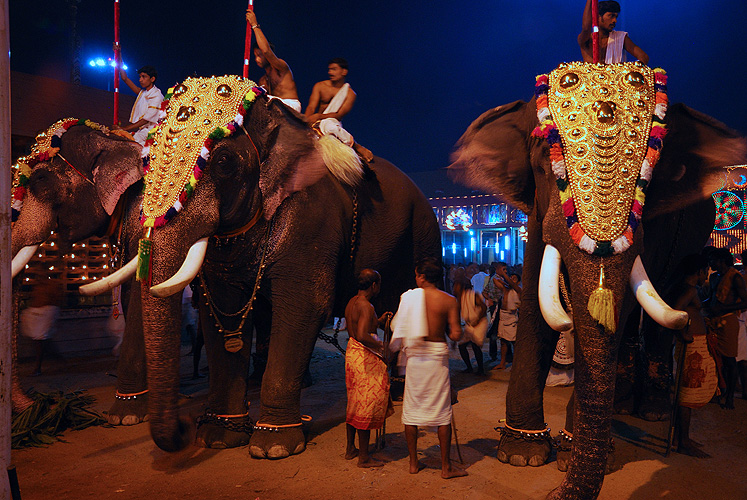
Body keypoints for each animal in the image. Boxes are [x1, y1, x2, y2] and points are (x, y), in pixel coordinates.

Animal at [10, 118, 152, 426]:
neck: (114, 140)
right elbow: (128, 293)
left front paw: (125, 416)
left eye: (40, 181)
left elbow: (140, 292)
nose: (48, 403)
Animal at [122, 75, 442, 458]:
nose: (186, 425)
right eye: (145, 160)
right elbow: (222, 311)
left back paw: (398, 389)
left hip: (424, 231)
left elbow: (305, 304)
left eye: (223, 162)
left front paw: (272, 447)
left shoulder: (311, 217)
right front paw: (219, 437)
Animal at [450, 63, 747, 500]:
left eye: (650, 176)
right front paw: (521, 453)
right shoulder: (537, 210)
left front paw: (571, 453)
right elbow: (534, 308)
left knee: (665, 306)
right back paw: (623, 405)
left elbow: (617, 312)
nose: (553, 493)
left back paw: (652, 409)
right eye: (545, 164)